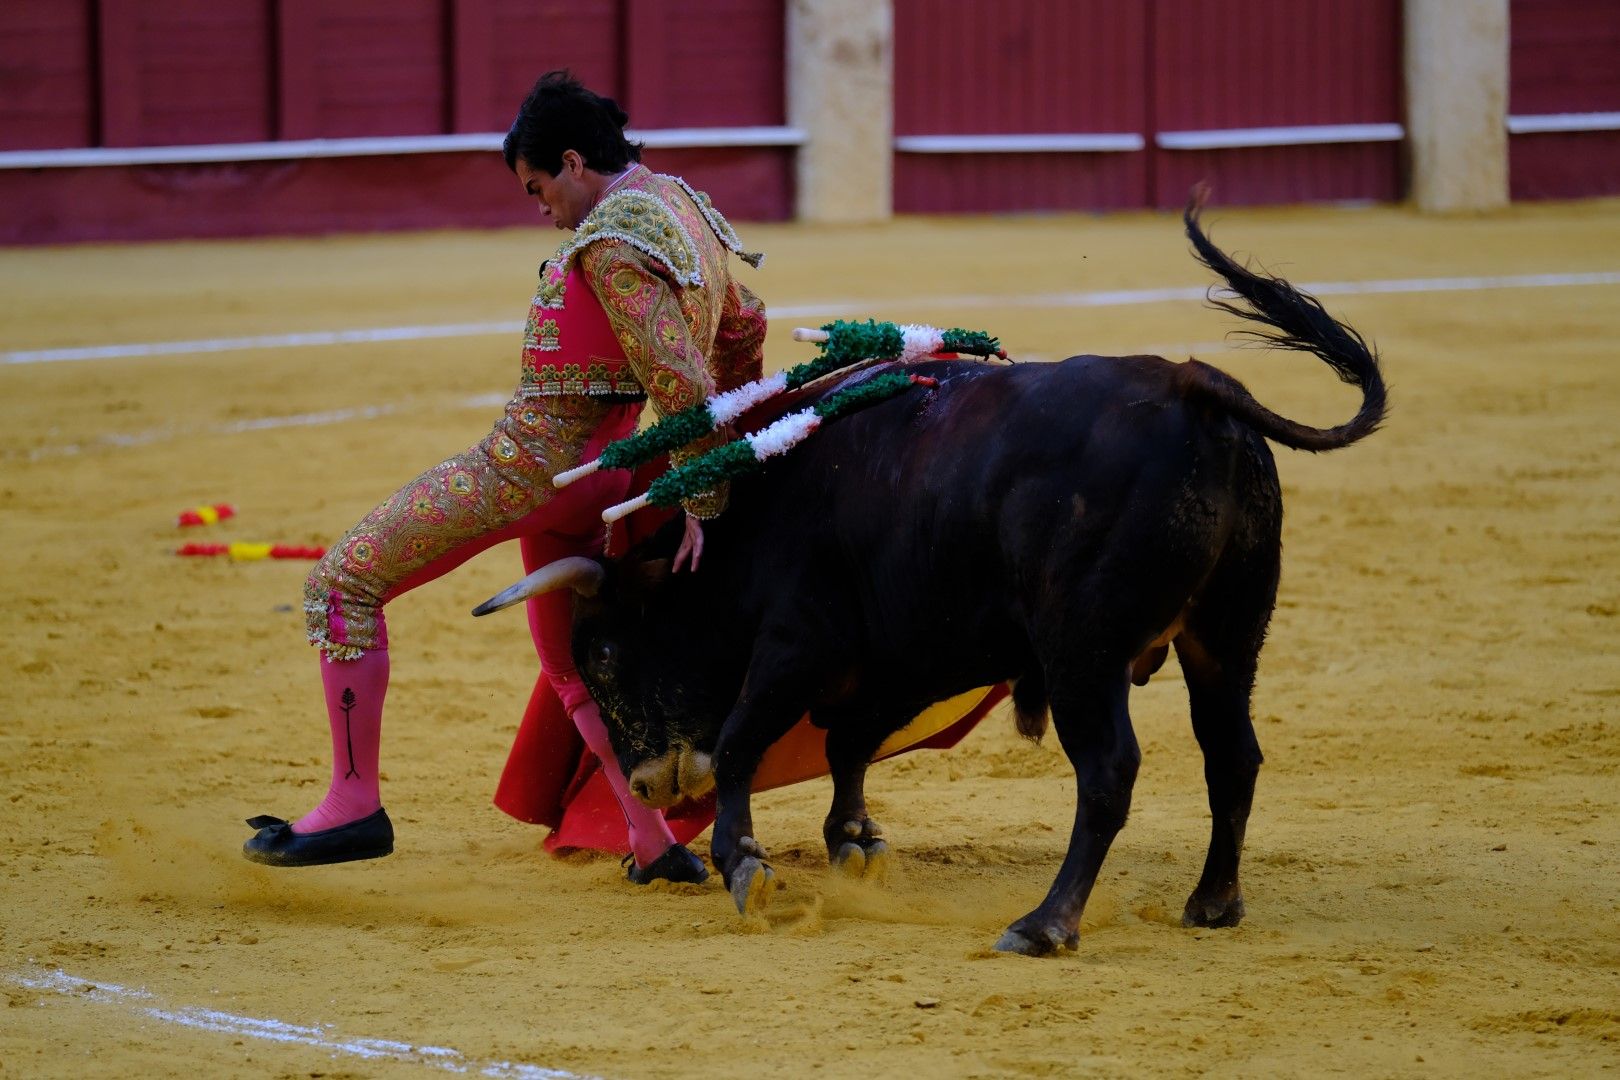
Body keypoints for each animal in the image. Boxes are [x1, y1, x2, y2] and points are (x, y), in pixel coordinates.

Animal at [473, 198, 1386, 958]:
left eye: (603, 656)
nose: (643, 784)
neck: (756, 516)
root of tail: (1199, 386)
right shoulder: (906, 652)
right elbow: (847, 743)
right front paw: (854, 842)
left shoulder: (798, 642)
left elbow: (740, 741)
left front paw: (745, 865)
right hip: (1227, 635)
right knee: (1232, 754)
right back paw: (1212, 903)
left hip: (1082, 651)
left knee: (1109, 773)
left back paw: (1044, 924)